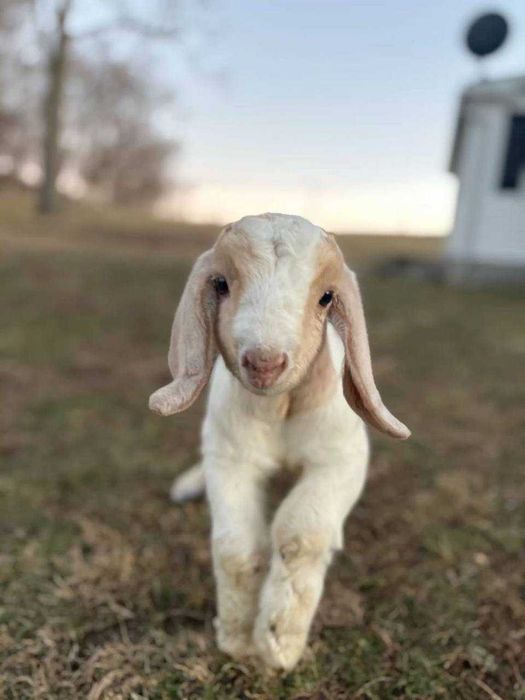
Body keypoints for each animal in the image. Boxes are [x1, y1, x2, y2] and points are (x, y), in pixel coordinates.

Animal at [149, 213, 410, 670]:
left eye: (326, 297)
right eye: (221, 284)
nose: (265, 363)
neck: (281, 409)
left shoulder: (341, 461)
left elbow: (300, 535)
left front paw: (278, 642)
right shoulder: (230, 457)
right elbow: (236, 548)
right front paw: (237, 638)